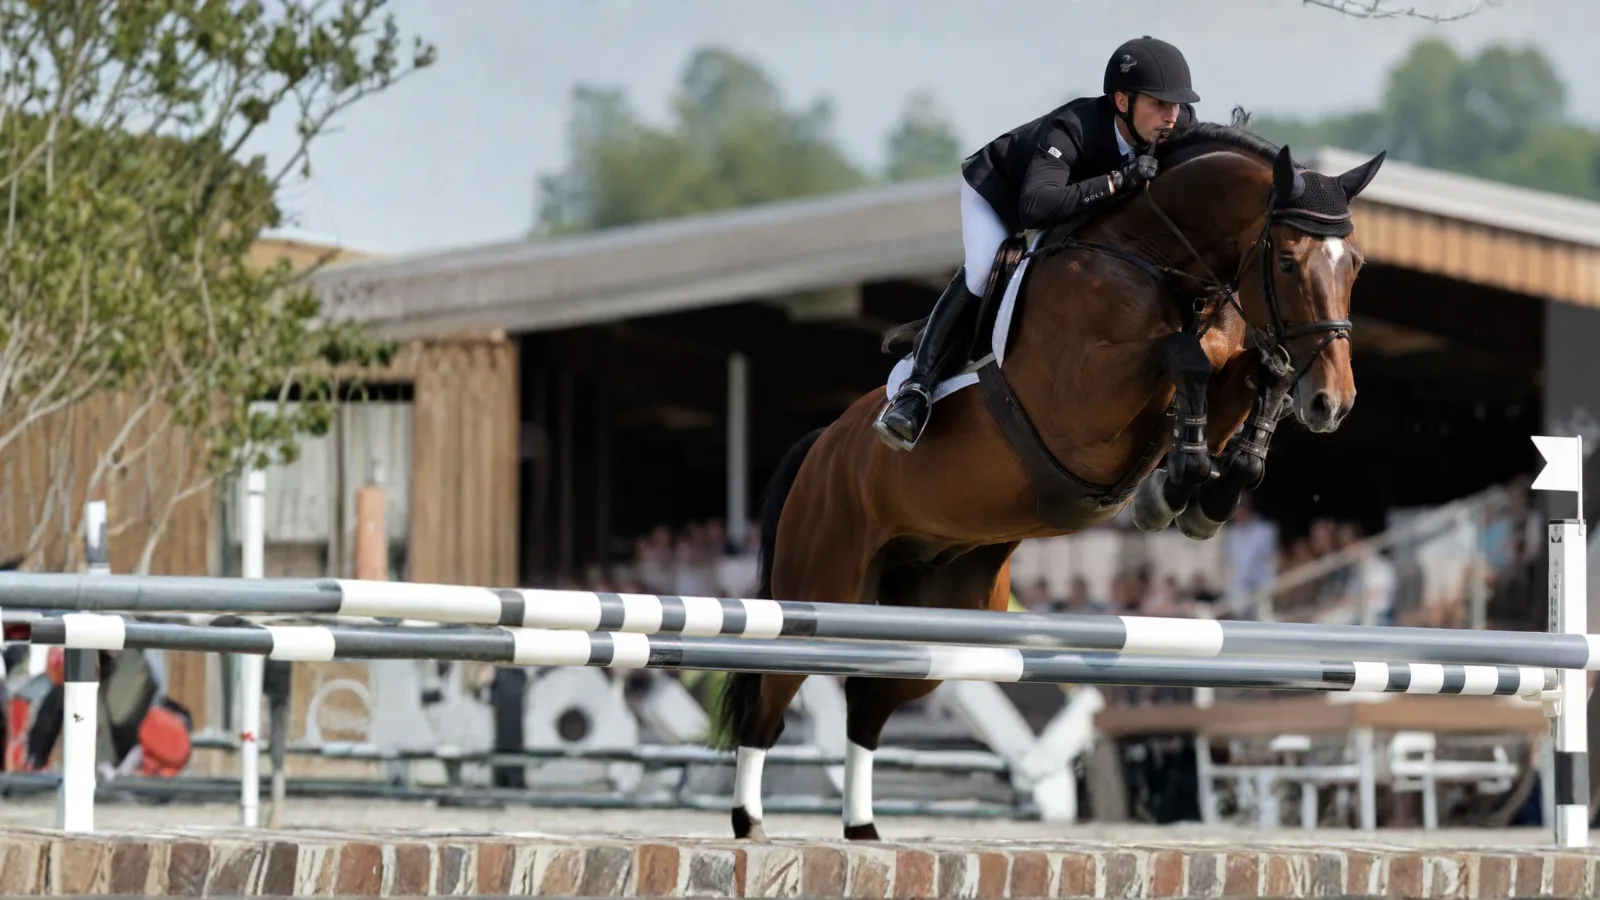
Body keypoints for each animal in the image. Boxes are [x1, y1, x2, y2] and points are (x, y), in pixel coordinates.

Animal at [712, 118, 1387, 841]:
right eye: (1287, 261)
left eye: (1355, 265)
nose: (1335, 403)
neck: (1156, 261)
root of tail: (823, 443)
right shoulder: (1084, 401)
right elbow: (1189, 356)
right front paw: (1175, 485)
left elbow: (1257, 370)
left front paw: (1205, 492)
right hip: (818, 587)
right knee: (769, 699)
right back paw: (751, 823)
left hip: (945, 616)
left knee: (869, 702)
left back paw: (863, 832)